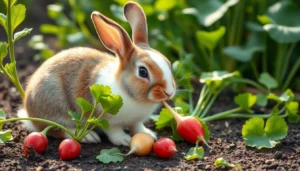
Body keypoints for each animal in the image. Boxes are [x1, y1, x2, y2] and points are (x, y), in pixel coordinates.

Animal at [17, 1, 176, 146]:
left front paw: (149, 134)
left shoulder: (136, 120)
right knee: (57, 129)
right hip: (54, 105)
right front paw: (124, 140)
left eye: (168, 63)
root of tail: (29, 111)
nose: (169, 92)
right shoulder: (107, 119)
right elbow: (114, 131)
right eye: (143, 72)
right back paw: (89, 137)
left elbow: (137, 127)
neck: (127, 91)